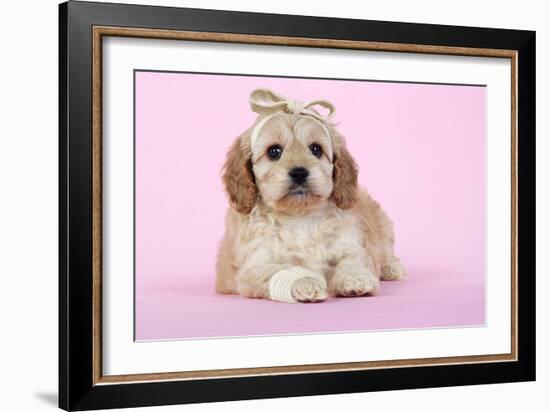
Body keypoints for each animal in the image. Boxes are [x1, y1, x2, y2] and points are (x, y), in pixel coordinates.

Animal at [216, 89, 406, 302]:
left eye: (316, 149)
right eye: (274, 151)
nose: (299, 172)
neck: (300, 216)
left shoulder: (348, 244)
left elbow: (353, 259)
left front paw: (356, 279)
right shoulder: (256, 265)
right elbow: (282, 269)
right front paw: (306, 282)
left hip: (384, 225)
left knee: (386, 249)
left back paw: (391, 268)